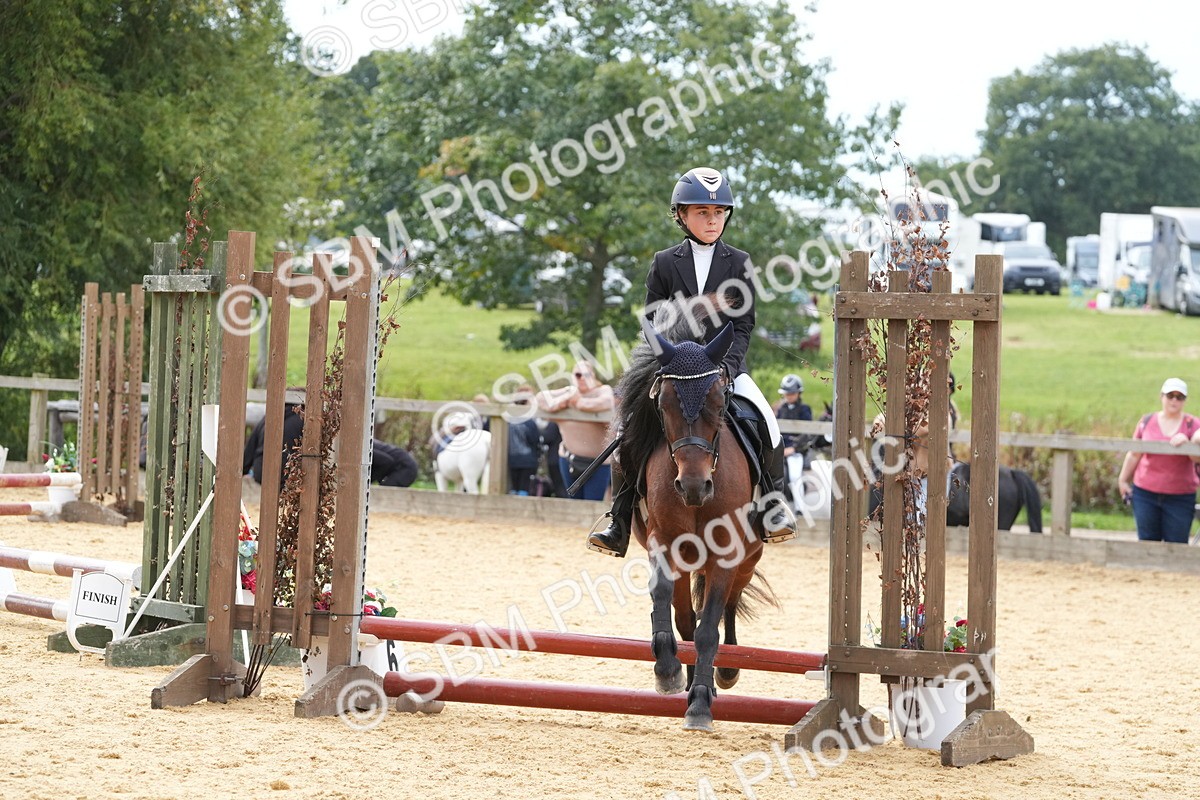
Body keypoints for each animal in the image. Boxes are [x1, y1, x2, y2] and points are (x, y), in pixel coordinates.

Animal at [616, 300, 778, 732]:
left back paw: (725, 673)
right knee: (687, 619)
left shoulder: (726, 553)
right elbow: (665, 600)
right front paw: (668, 670)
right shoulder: (663, 542)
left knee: (728, 606)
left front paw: (702, 704)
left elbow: (710, 628)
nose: (693, 487)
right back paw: (688, 679)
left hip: (749, 557)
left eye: (719, 404)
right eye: (663, 404)